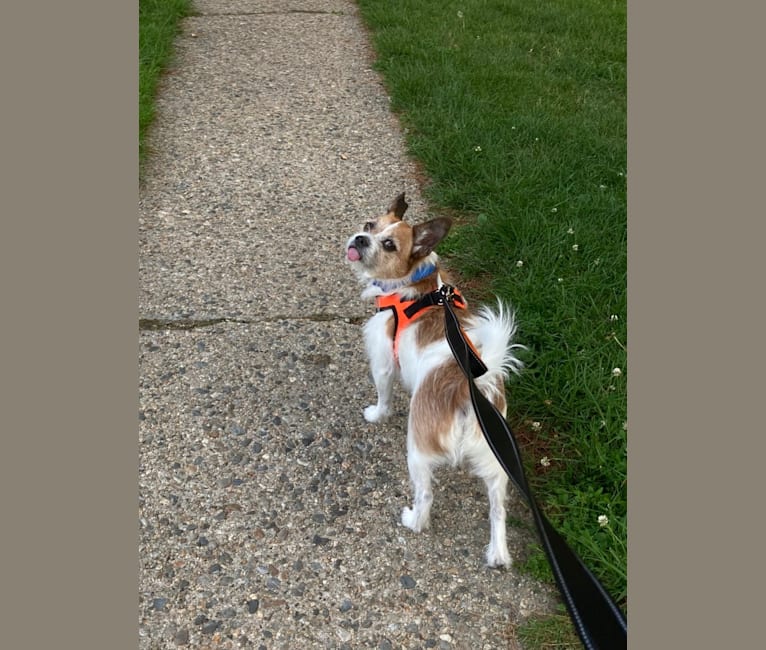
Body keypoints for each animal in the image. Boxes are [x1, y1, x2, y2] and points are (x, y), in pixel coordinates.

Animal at [344, 194, 524, 568]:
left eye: (389, 244)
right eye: (370, 225)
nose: (360, 239)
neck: (416, 282)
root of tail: (469, 392)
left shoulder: (383, 360)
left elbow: (383, 394)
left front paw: (376, 414)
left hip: (418, 450)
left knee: (425, 495)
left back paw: (413, 520)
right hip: (496, 461)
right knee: (498, 510)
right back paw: (498, 553)